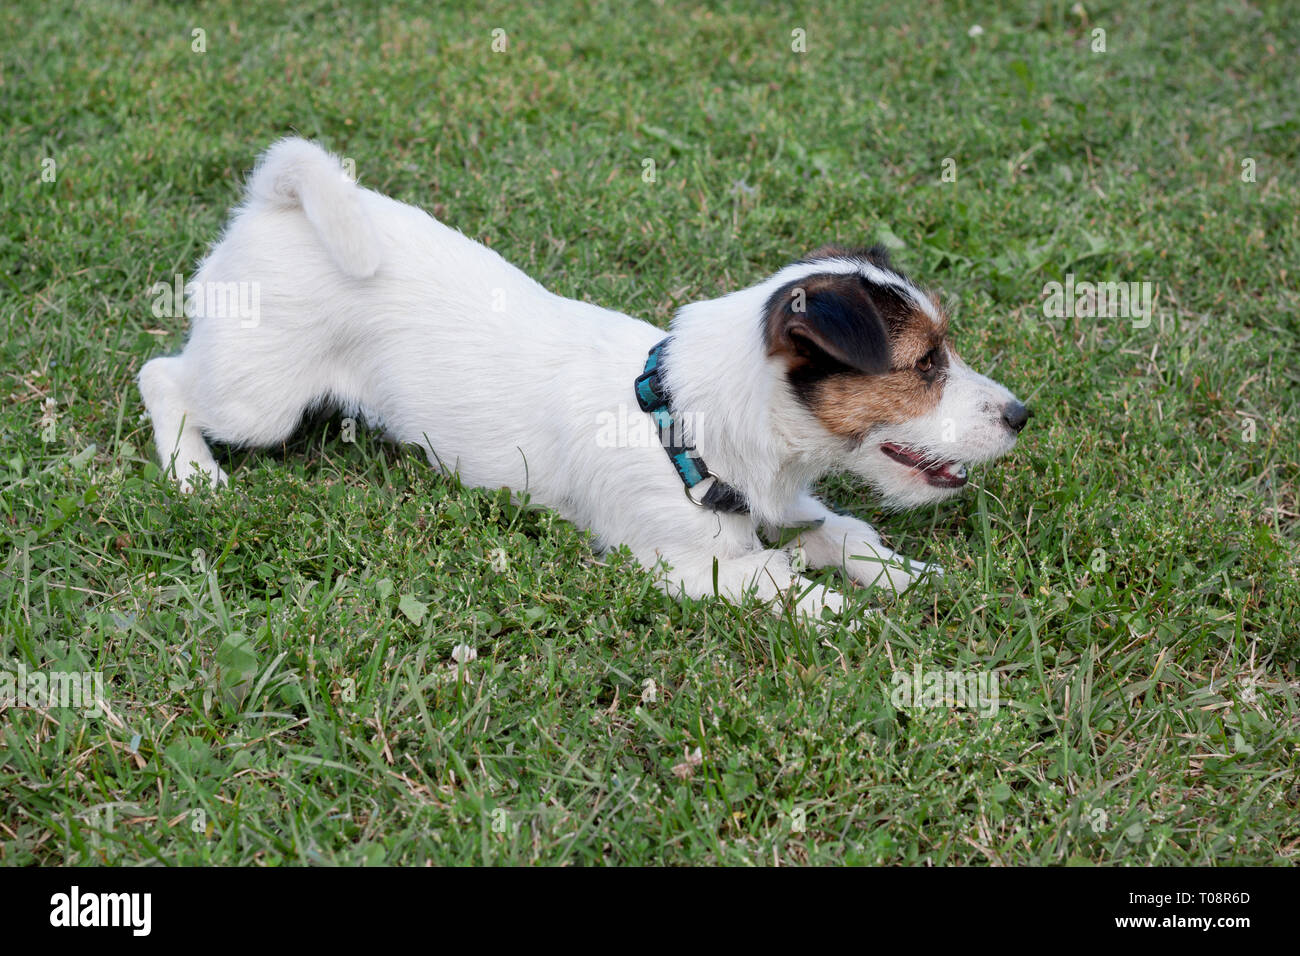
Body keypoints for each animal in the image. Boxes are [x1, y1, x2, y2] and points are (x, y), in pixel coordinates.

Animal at [142, 138, 1029, 624]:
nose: (1022, 415)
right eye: (925, 364)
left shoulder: (790, 509)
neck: (686, 423)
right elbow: (790, 587)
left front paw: (906, 579)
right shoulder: (686, 565)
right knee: (162, 378)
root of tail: (278, 205)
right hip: (259, 399)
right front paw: (869, 623)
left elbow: (844, 535)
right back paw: (193, 473)